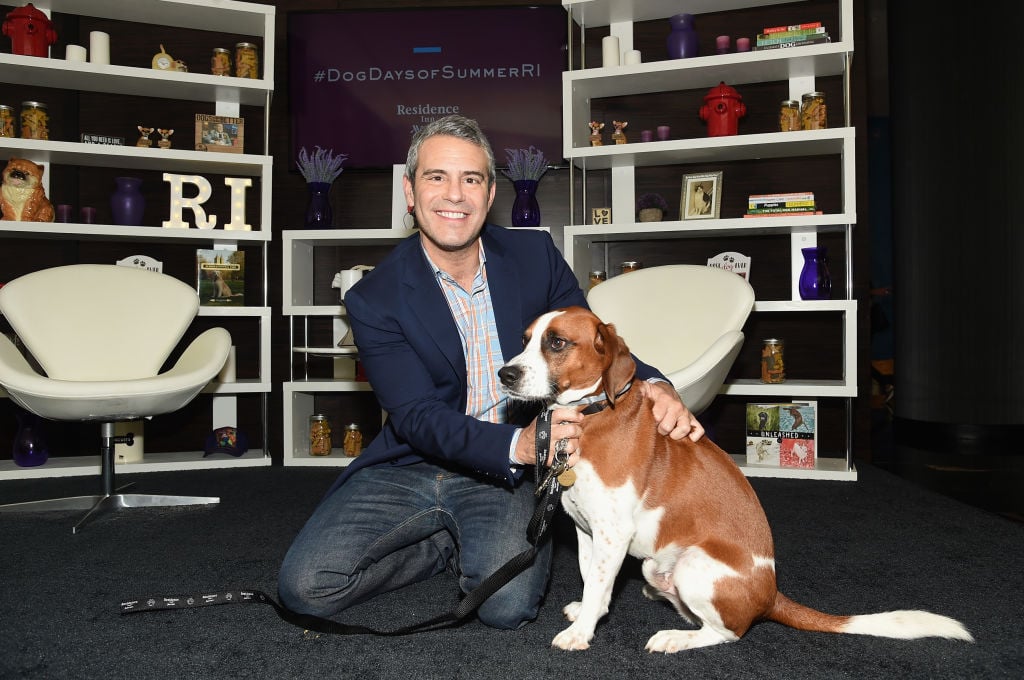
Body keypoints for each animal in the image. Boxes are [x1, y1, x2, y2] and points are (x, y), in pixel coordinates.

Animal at [499, 307, 970, 655]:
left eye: (556, 342)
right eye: (525, 339)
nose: (505, 374)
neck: (592, 414)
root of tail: (771, 595)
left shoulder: (613, 533)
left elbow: (600, 583)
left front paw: (581, 634)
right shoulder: (586, 530)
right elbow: (591, 579)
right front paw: (588, 614)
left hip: (693, 565)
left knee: (727, 633)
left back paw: (675, 638)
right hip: (656, 562)